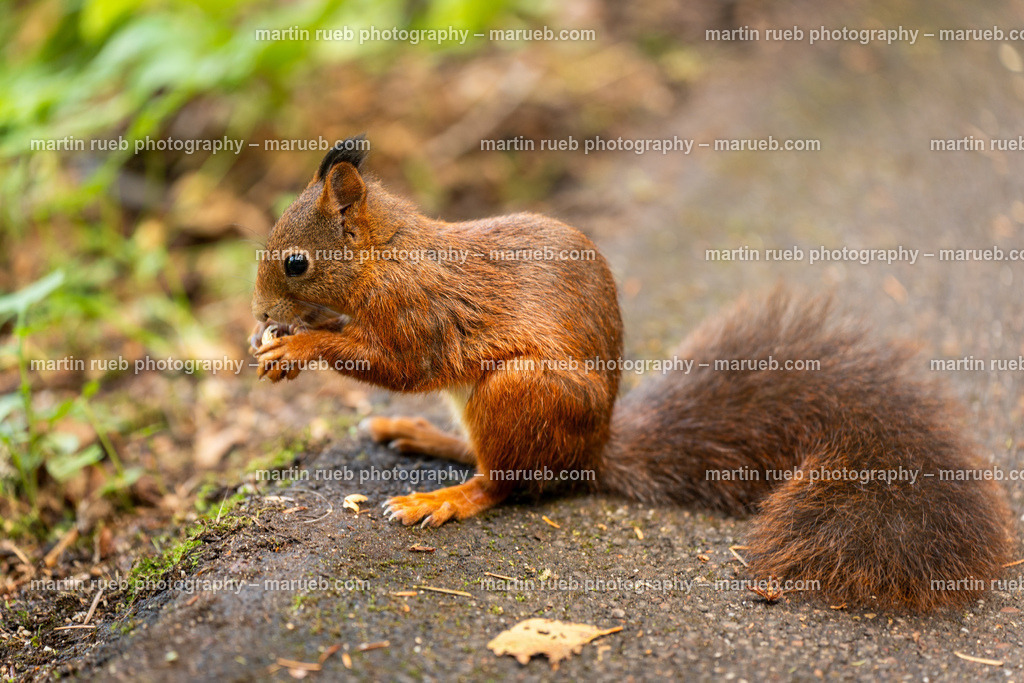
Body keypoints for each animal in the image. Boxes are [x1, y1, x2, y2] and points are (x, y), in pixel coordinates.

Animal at [251, 134, 1015, 611]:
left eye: (296, 262)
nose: (258, 312)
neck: (385, 255)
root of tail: (594, 452)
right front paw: (275, 339)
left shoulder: (421, 316)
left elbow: (396, 361)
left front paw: (296, 345)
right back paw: (423, 437)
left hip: (519, 392)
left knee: (509, 481)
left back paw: (445, 497)